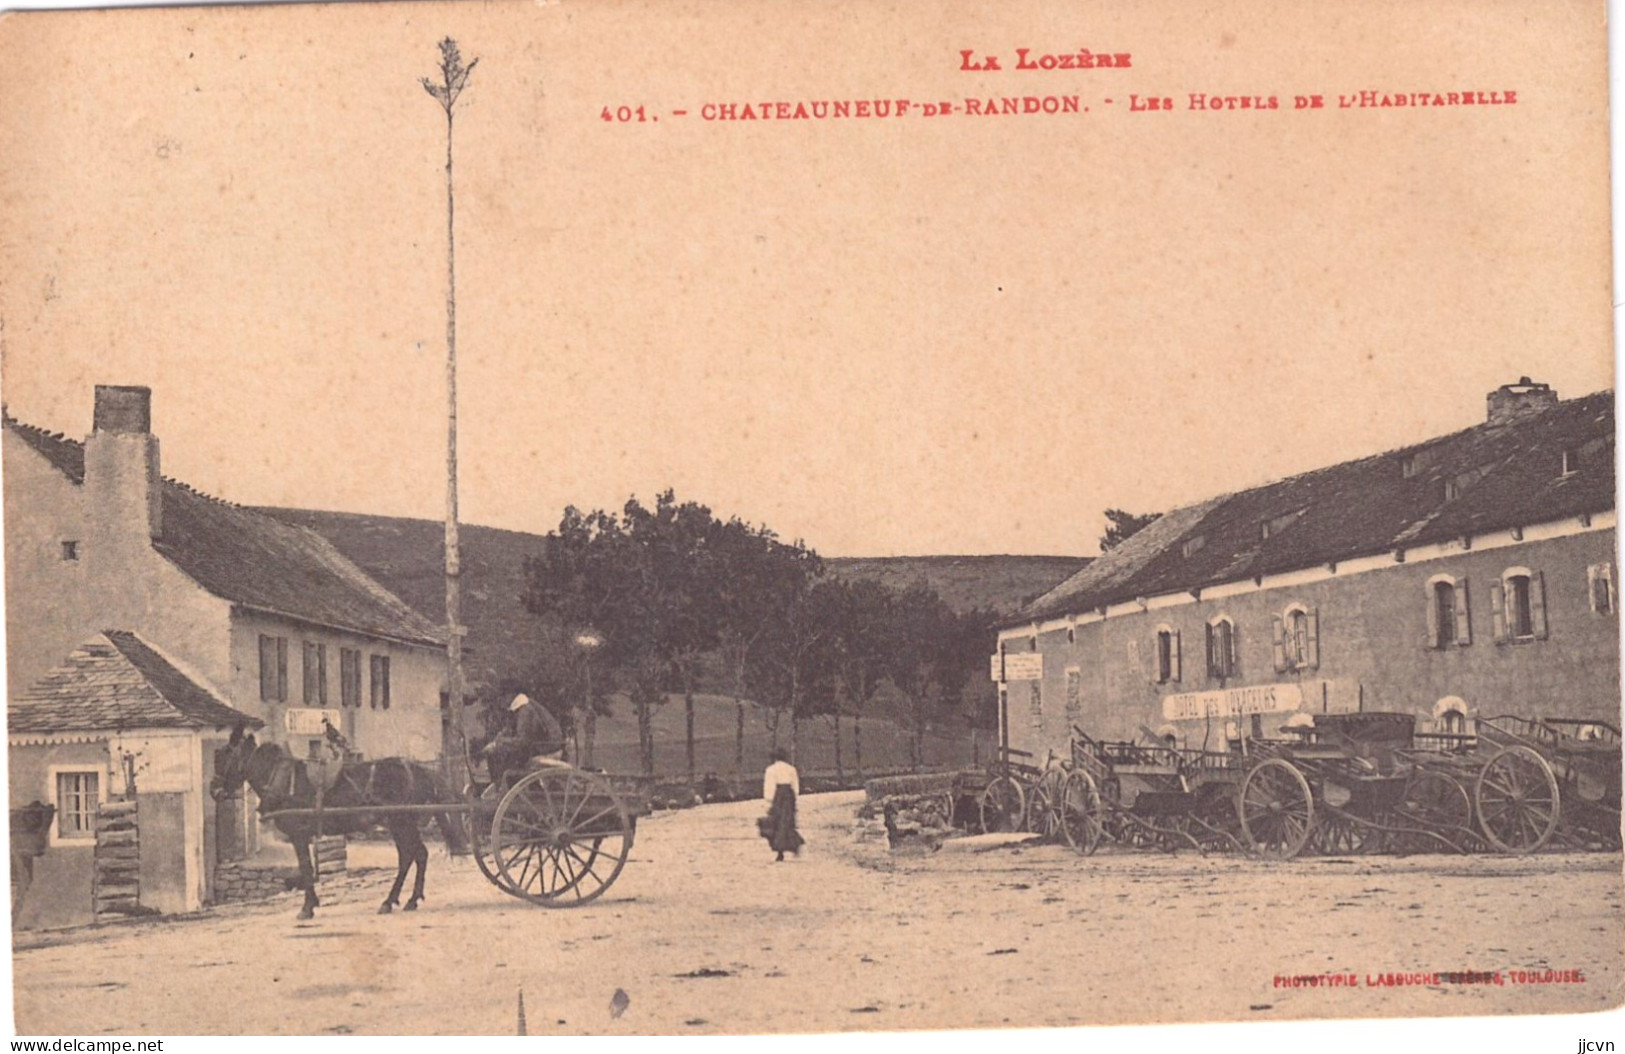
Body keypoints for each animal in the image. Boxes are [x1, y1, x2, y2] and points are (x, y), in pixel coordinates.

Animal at [209, 727, 464, 915]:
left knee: (409, 856)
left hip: (400, 822)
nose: (214, 790)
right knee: (417, 854)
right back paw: (409, 899)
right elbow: (307, 868)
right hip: (402, 823)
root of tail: (419, 768)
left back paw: (390, 901)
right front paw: (311, 904)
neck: (280, 778)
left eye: (223, 756)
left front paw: (307, 907)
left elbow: (305, 867)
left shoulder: (299, 835)